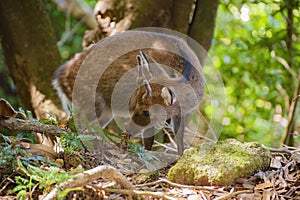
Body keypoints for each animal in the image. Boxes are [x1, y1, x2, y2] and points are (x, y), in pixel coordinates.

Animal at [52, 30, 206, 155]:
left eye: (146, 112)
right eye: (135, 102)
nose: (128, 129)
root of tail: (59, 79)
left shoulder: (186, 112)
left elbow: (179, 138)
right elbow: (149, 139)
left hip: (106, 111)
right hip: (91, 101)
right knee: (73, 123)